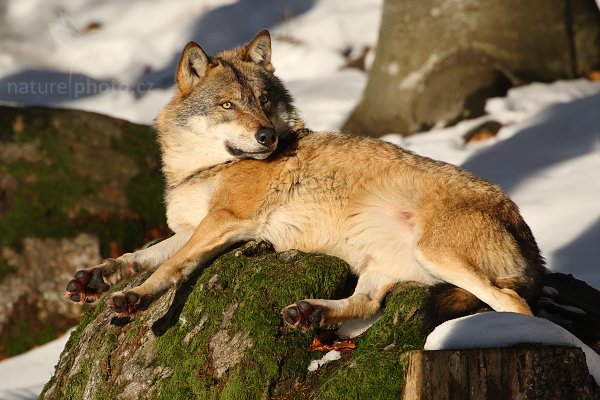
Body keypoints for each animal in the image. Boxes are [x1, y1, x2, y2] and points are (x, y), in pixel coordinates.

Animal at [64, 30, 544, 328]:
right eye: (228, 105)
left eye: (262, 101)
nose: (267, 136)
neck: (202, 169)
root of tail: (529, 238)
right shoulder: (194, 227)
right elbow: (141, 255)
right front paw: (96, 276)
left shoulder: (225, 221)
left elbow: (169, 266)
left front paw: (134, 298)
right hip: (383, 263)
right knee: (366, 302)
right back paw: (310, 314)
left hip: (437, 253)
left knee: (515, 305)